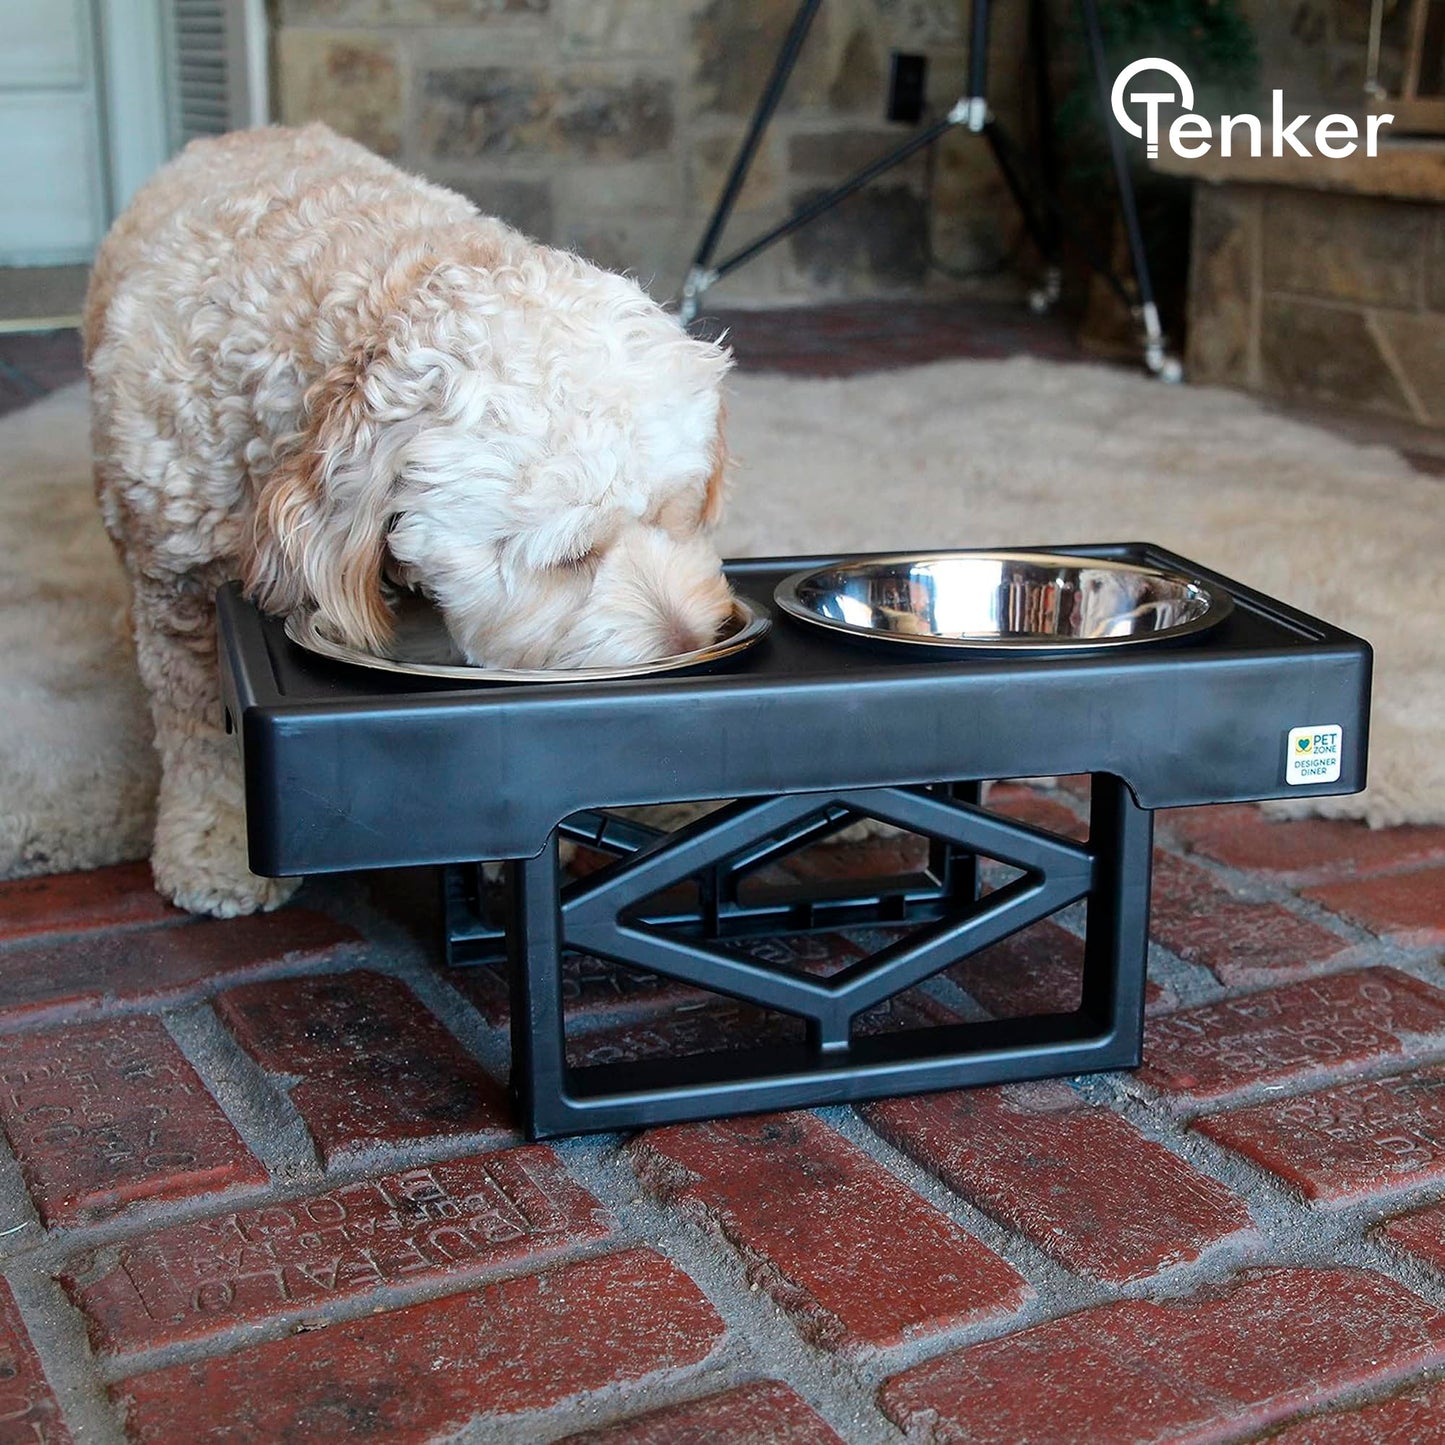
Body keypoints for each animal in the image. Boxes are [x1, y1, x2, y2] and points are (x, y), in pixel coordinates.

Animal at [84, 124, 734, 913]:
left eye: (680, 514)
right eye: (569, 559)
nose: (690, 641)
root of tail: (240, 132)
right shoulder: (180, 582)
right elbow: (201, 724)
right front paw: (216, 848)